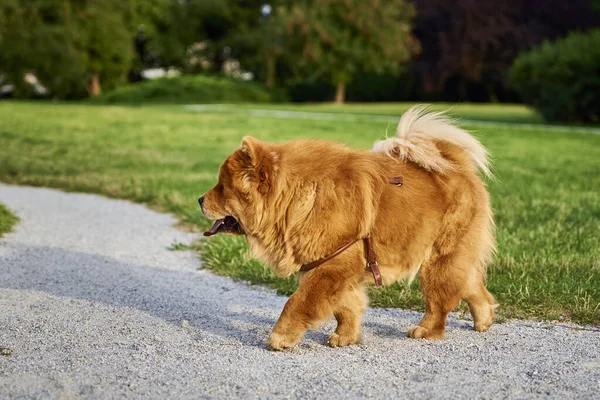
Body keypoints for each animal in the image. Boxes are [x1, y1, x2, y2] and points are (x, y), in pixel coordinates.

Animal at [199, 106, 494, 350]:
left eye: (222, 187)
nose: (200, 199)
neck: (297, 198)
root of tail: (457, 165)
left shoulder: (332, 265)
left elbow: (297, 302)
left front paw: (280, 338)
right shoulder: (335, 268)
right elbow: (346, 308)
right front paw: (345, 337)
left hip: (438, 260)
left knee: (439, 302)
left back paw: (426, 330)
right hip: (451, 258)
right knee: (472, 284)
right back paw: (485, 318)